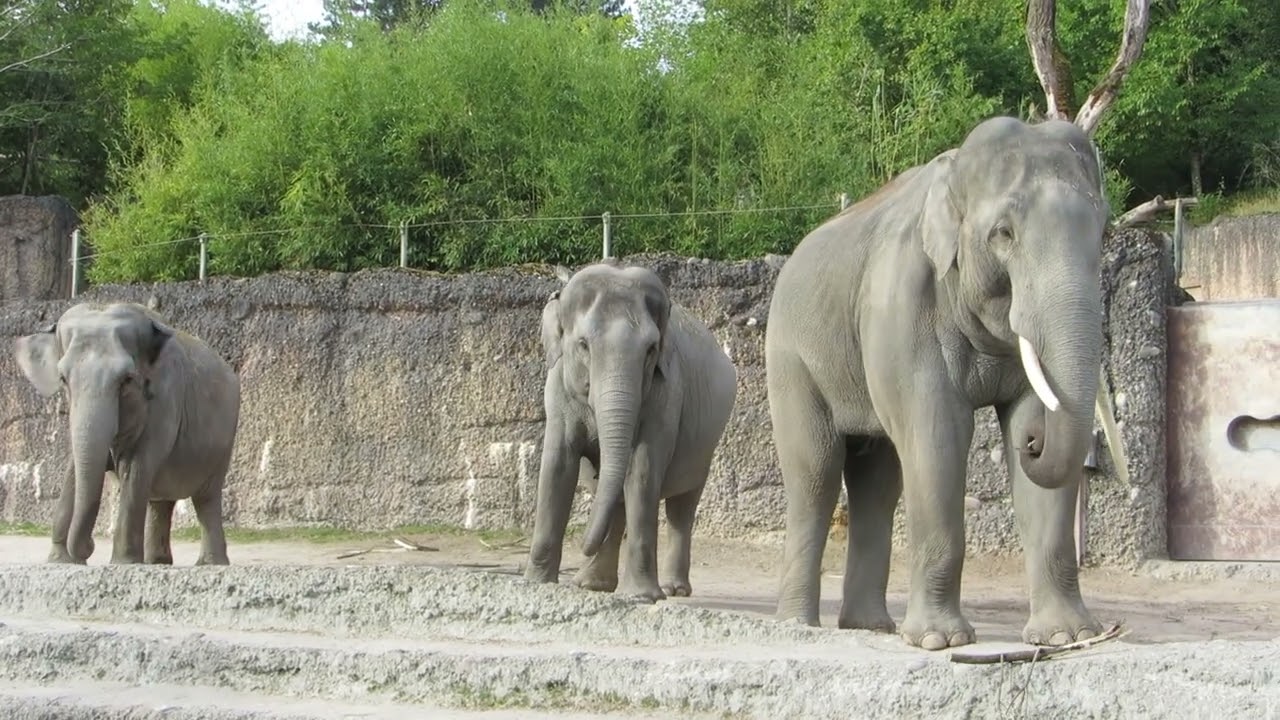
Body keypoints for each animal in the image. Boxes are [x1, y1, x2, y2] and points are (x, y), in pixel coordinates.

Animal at [13, 301, 241, 566]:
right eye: (63, 379)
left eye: (127, 380)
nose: (90, 546)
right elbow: (73, 471)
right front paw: (61, 561)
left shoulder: (165, 402)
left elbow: (136, 468)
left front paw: (123, 562)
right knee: (160, 501)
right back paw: (157, 563)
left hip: (224, 441)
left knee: (206, 499)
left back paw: (210, 563)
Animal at [524, 261, 737, 601]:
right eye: (583, 345)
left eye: (651, 349)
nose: (581, 546)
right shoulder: (558, 387)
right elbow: (558, 465)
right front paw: (535, 583)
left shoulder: (666, 392)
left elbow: (642, 469)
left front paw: (642, 597)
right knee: (617, 499)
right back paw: (592, 584)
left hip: (705, 446)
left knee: (682, 506)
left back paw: (673, 589)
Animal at [765, 116, 1109, 650]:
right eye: (1003, 234)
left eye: (1104, 230)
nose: (1035, 444)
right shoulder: (903, 301)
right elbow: (938, 434)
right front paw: (939, 642)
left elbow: (1024, 417)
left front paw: (1065, 637)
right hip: (791, 359)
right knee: (815, 471)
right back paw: (799, 625)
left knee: (878, 479)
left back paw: (870, 626)